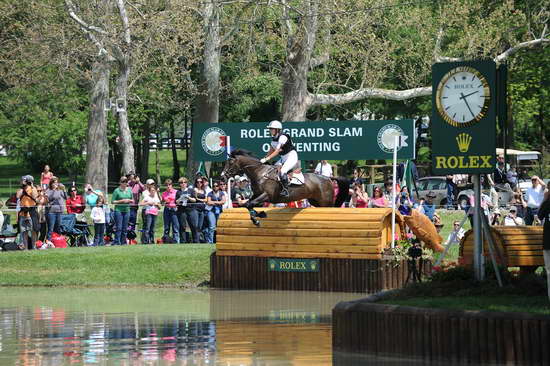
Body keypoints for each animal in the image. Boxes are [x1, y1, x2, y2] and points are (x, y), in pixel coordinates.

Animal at [222, 149, 352, 226]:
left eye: (230, 163)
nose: (223, 176)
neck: (259, 173)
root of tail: (328, 178)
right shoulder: (256, 195)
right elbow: (247, 204)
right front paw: (258, 215)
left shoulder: (266, 195)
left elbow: (249, 204)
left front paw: (258, 218)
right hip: (315, 201)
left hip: (325, 201)